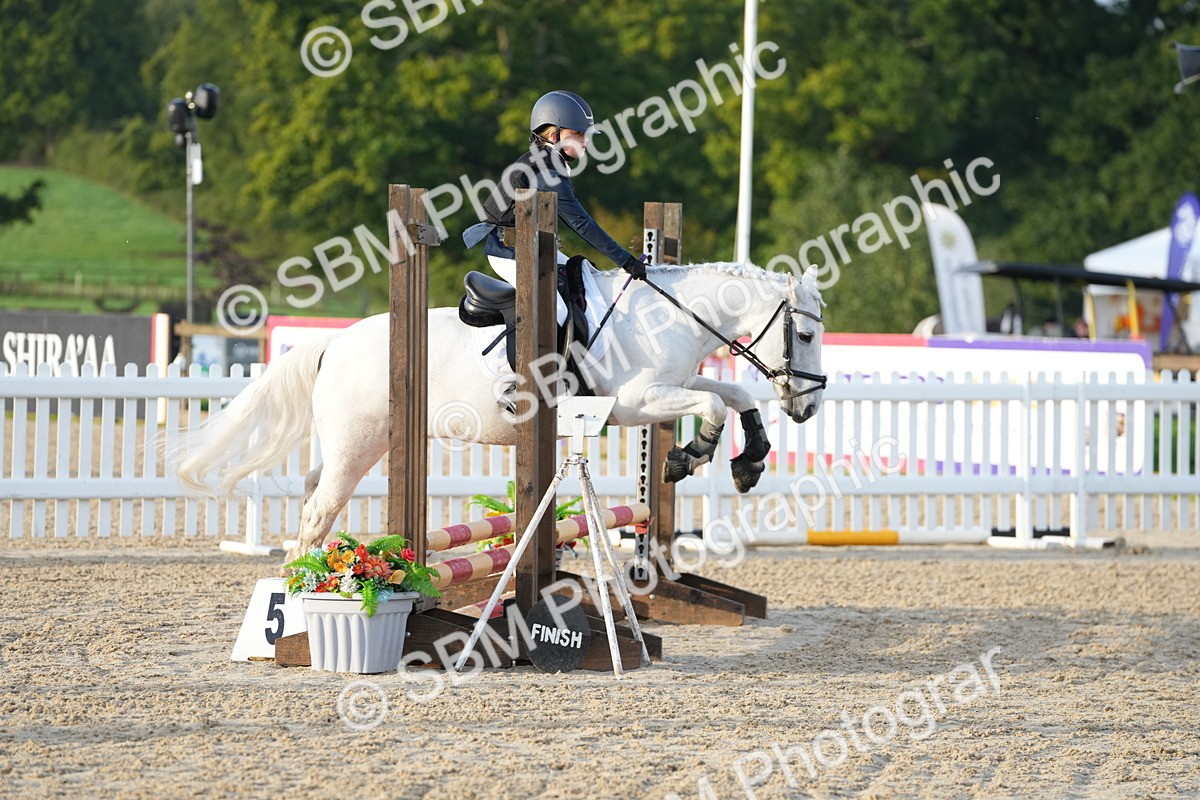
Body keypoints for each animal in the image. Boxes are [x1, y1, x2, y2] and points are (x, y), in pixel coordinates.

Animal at [172, 261, 827, 561]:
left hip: (365, 443)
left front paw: (749, 461)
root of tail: (332, 343)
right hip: (357, 446)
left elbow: (735, 395)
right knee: (318, 510)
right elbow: (714, 401)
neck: (665, 314)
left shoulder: (665, 390)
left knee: (314, 490)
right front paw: (690, 456)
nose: (810, 405)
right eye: (808, 335)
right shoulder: (636, 402)